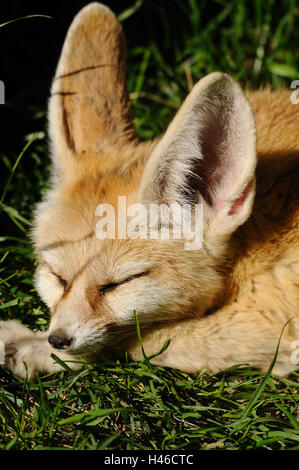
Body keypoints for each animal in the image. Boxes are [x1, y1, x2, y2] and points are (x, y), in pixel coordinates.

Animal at [0, 1, 299, 380]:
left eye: (120, 283)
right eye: (58, 278)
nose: (58, 339)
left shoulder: (271, 321)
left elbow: (140, 340)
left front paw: (32, 347)